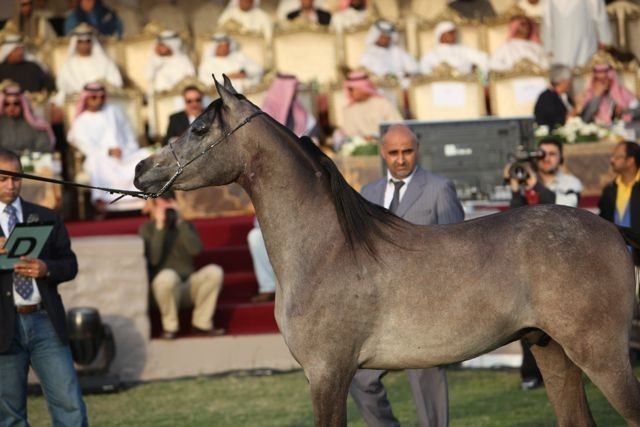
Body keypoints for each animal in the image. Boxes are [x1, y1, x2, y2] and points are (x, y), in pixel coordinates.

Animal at [134, 76, 640, 426]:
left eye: (199, 127)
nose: (141, 170)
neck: (328, 250)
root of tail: (611, 230)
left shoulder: (327, 375)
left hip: (602, 356)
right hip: (552, 352)